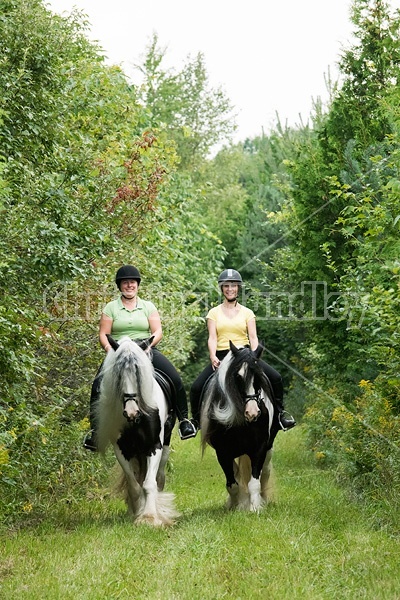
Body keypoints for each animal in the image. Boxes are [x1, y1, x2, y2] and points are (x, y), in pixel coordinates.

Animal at [95, 336, 178, 528]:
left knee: (159, 476)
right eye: (118, 374)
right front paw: (138, 512)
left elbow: (149, 483)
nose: (131, 412)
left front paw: (150, 517)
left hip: (166, 444)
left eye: (138, 372)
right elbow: (134, 485)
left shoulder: (154, 445)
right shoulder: (122, 449)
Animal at [202, 342, 280, 510]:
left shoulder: (259, 447)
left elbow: (255, 482)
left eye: (259, 375)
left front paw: (255, 507)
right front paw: (235, 505)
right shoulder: (222, 451)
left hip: (268, 446)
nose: (252, 413)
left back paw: (264, 499)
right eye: (238, 377)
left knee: (265, 472)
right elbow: (232, 484)